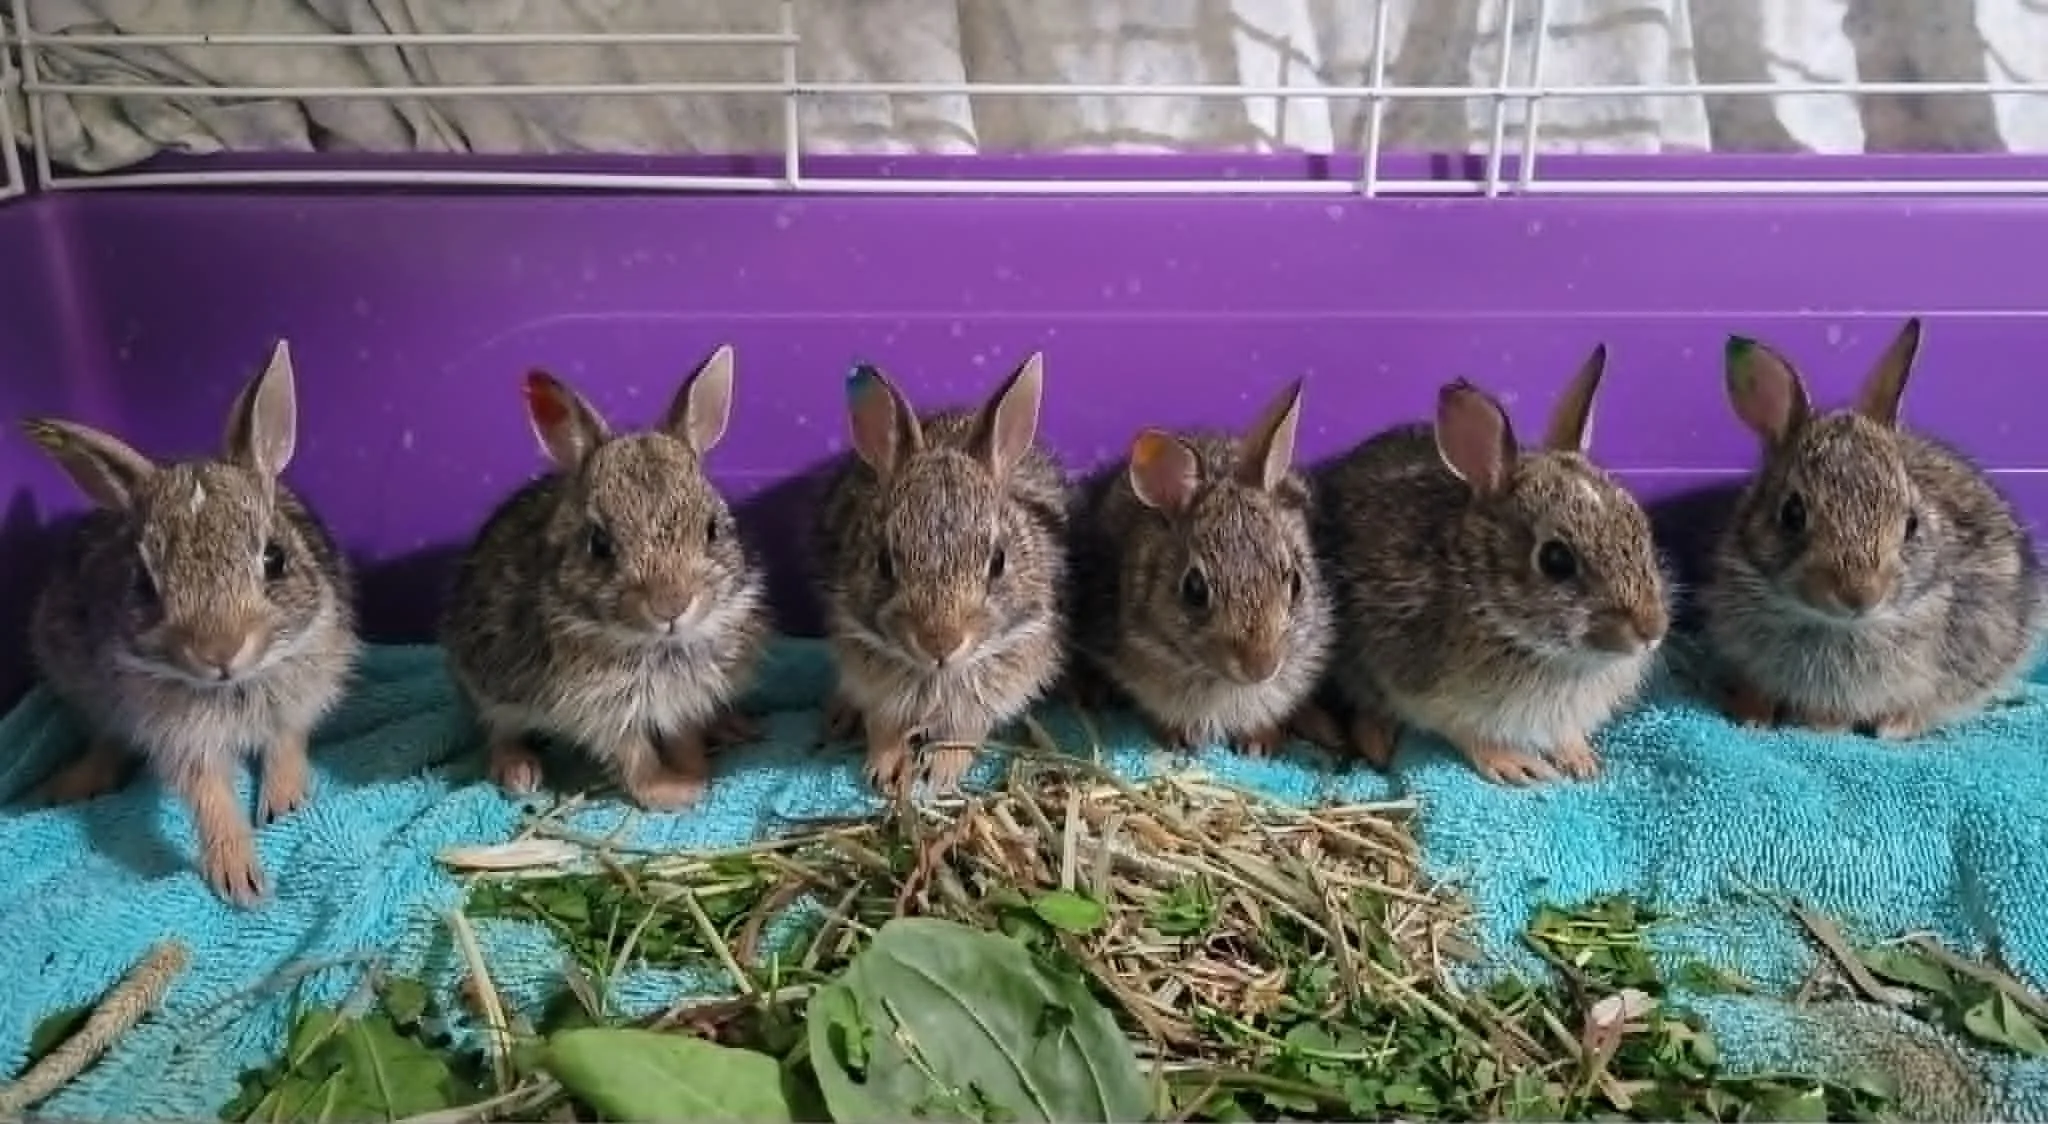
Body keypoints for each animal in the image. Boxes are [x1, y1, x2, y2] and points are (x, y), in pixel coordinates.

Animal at [19, 340, 360, 907]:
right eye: (143, 584)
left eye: (275, 559)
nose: (220, 652)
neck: (235, 685)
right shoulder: (179, 737)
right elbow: (207, 793)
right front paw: (239, 876)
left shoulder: (302, 694)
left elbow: (286, 744)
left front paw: (284, 806)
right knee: (107, 734)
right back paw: (70, 785)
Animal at [441, 344, 772, 810]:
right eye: (598, 544)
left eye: (712, 530)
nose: (671, 605)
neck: (656, 643)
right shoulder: (604, 711)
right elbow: (634, 755)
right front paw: (674, 792)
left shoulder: (685, 703)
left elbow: (683, 738)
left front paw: (695, 772)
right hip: (488, 684)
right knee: (498, 729)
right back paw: (519, 774)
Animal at [812, 353, 1069, 797]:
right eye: (884, 562)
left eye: (998, 561)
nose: (940, 644)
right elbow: (882, 722)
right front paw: (882, 770)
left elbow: (964, 730)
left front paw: (940, 772)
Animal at [1315, 346, 1670, 785]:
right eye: (1556, 560)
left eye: (1640, 526)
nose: (1651, 631)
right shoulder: (1423, 688)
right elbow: (1466, 732)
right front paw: (1516, 765)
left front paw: (1582, 760)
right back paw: (1377, 746)